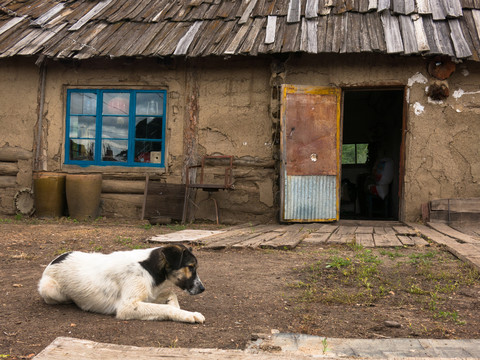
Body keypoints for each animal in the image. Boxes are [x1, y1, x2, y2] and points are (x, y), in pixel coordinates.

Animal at [36, 245, 203, 324]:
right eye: (191, 267)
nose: (202, 289)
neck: (148, 267)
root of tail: (55, 259)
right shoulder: (127, 306)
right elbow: (167, 308)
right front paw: (189, 314)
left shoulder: (147, 295)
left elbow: (171, 295)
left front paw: (179, 309)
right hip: (49, 288)